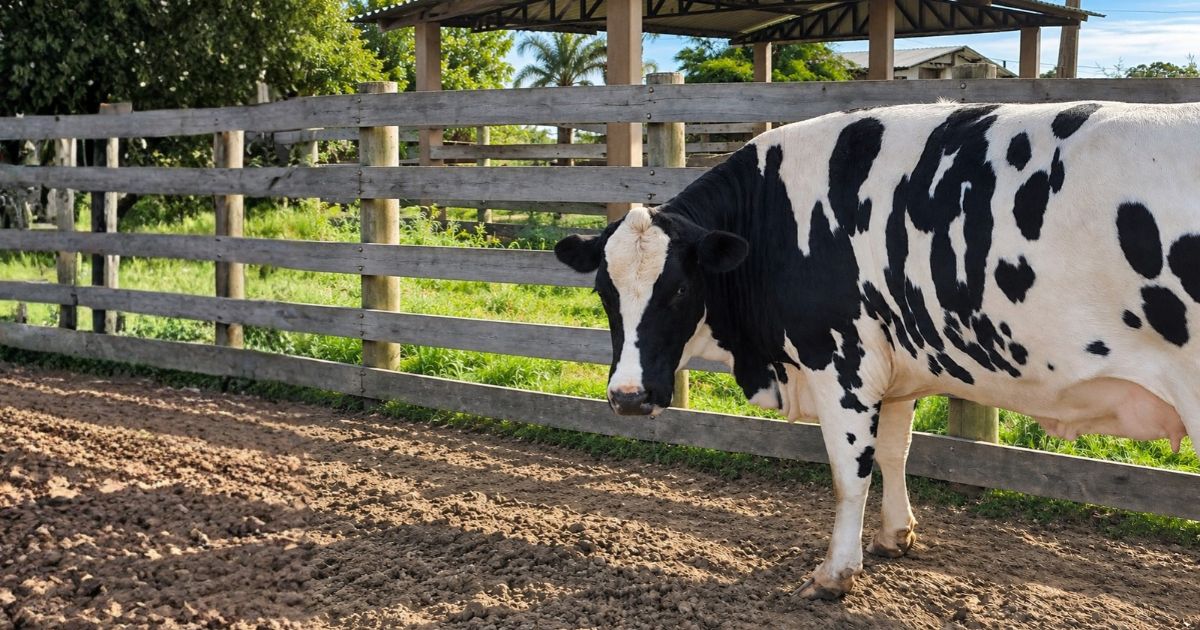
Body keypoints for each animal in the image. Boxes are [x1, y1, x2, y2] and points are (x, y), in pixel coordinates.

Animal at [554, 101, 1200, 599]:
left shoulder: (841, 362)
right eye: (604, 291)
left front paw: (835, 574)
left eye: (681, 288)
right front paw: (896, 535)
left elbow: (850, 474)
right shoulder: (896, 366)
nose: (628, 396)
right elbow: (894, 452)